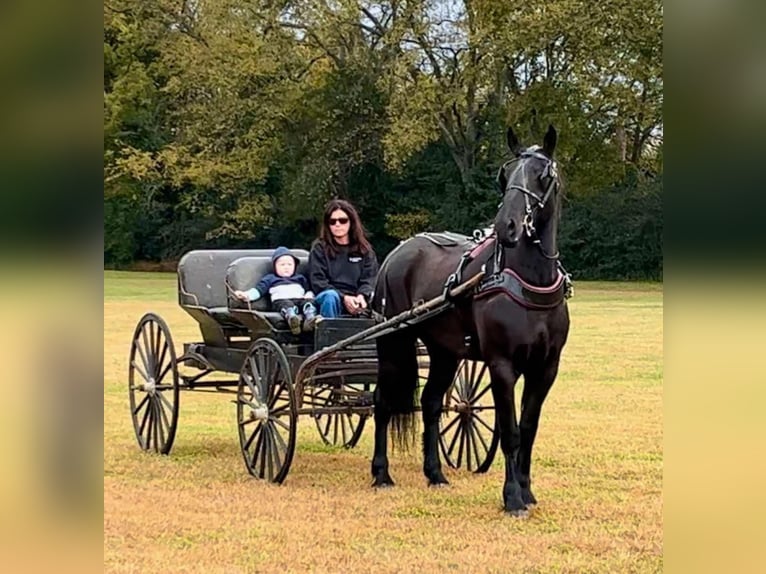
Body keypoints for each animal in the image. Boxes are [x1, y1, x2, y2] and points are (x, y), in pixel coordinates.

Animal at [368, 125, 572, 516]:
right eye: (505, 175)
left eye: (542, 175)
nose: (506, 225)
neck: (530, 281)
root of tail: (398, 252)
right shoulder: (501, 364)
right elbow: (510, 432)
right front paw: (512, 498)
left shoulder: (546, 368)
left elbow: (529, 429)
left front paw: (527, 491)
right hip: (393, 342)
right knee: (382, 401)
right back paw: (381, 473)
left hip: (445, 352)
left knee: (431, 402)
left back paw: (435, 473)